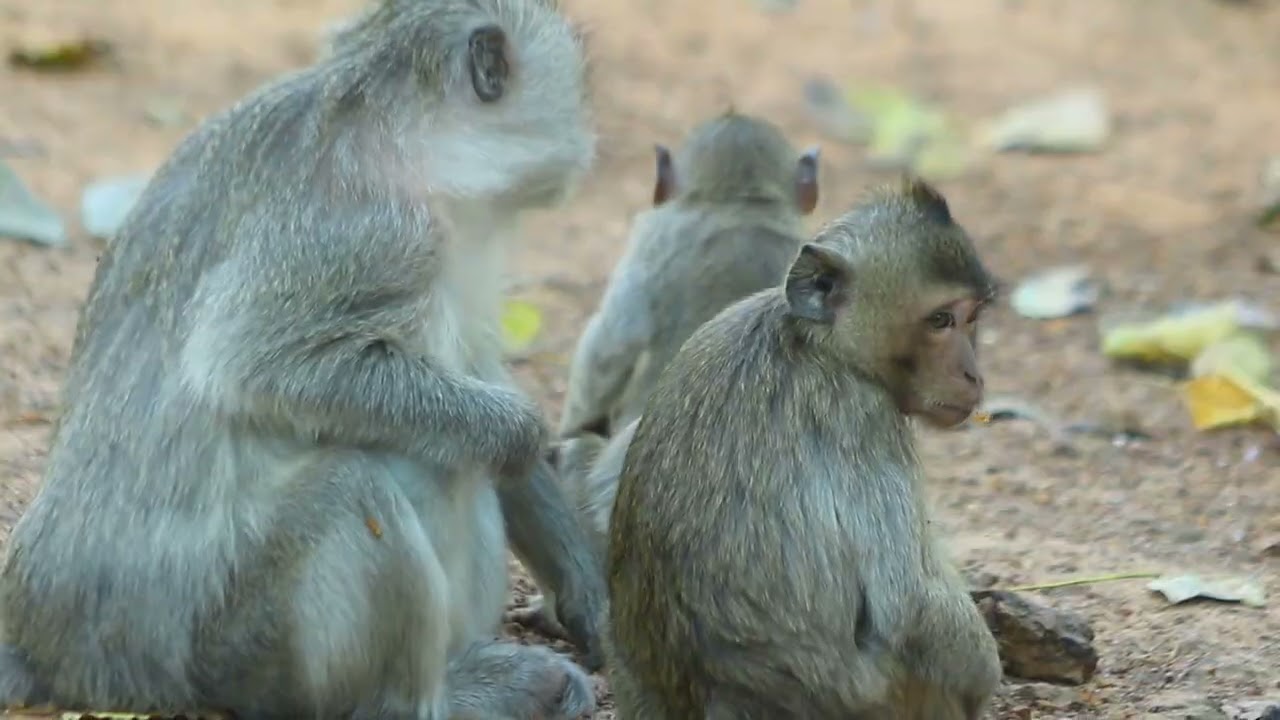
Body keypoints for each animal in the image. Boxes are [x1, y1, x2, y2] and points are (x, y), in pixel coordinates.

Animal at [0, 1, 606, 717]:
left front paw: (585, 583)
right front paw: (518, 434)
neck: (404, 132)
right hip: (236, 650)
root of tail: (53, 653)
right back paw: (438, 698)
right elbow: (250, 364)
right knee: (369, 481)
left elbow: (477, 367)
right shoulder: (376, 235)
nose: (589, 139)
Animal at [604, 177, 1004, 719]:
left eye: (971, 318)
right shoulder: (865, 418)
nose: (973, 374)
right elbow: (908, 605)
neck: (818, 341)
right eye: (941, 320)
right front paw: (986, 673)